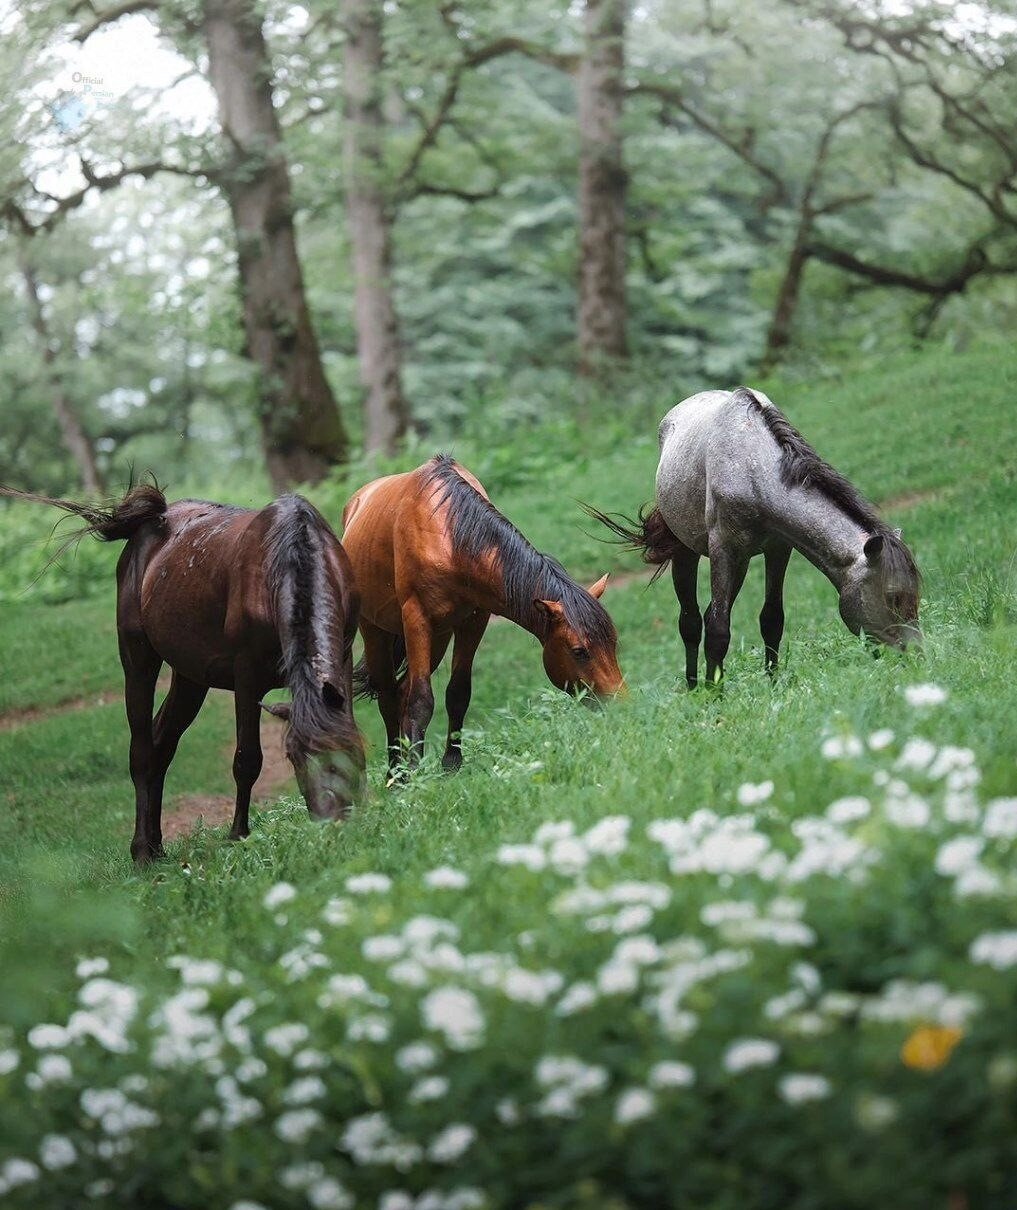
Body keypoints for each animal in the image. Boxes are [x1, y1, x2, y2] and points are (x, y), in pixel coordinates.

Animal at [0, 479, 365, 861]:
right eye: (293, 757)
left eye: (349, 752)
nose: (333, 823)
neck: (286, 560)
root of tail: (151, 522)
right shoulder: (246, 676)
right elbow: (247, 759)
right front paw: (237, 836)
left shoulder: (341, 658)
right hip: (138, 658)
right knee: (142, 750)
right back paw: (142, 852)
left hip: (190, 678)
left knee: (162, 743)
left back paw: (157, 845)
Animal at [341, 454, 624, 774]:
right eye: (579, 651)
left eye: (613, 642)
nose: (620, 703)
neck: (449, 536)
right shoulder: (417, 620)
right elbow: (421, 700)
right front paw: (413, 772)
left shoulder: (474, 621)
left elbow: (458, 692)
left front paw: (451, 764)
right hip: (376, 630)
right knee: (388, 696)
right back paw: (396, 772)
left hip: (439, 637)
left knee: (401, 692)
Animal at [583, 389, 915, 692]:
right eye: (893, 597)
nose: (914, 654)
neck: (753, 469)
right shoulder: (723, 550)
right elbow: (717, 630)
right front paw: (714, 696)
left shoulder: (778, 549)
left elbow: (771, 619)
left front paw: (772, 683)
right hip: (689, 553)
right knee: (691, 621)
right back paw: (694, 687)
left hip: (742, 562)